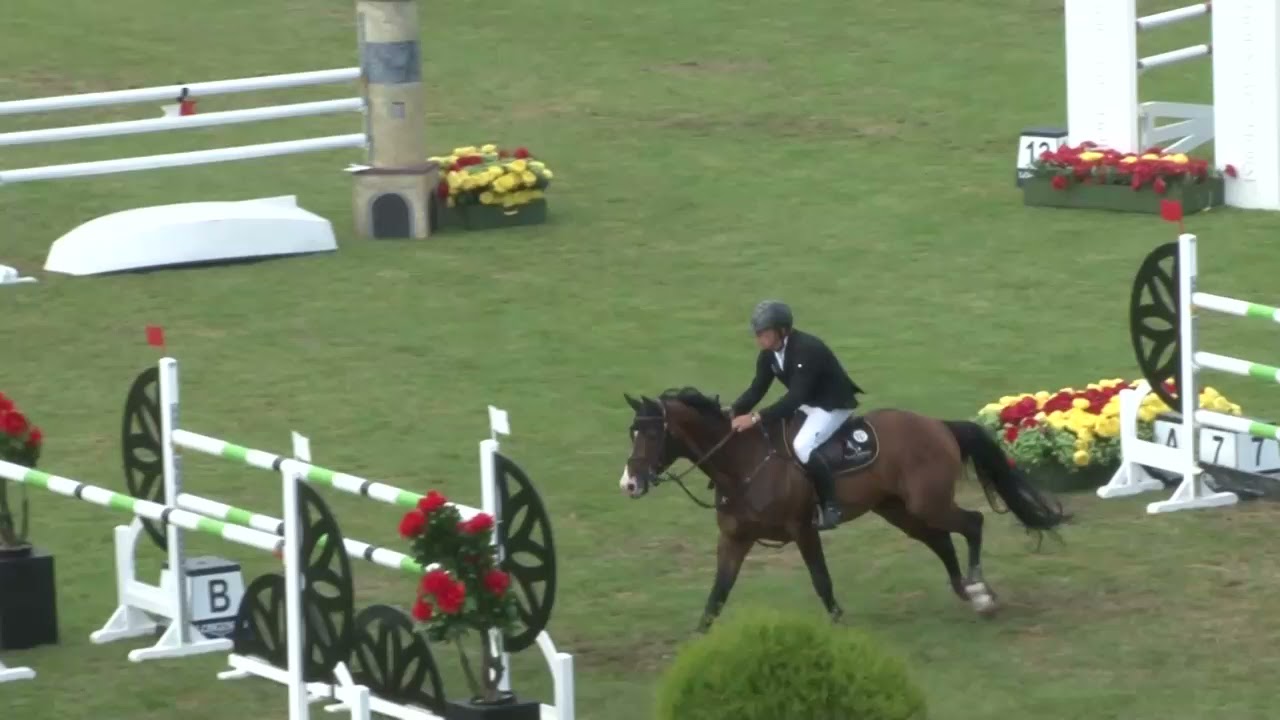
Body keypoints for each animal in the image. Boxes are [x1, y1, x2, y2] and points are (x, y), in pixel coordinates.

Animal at [619, 388, 1069, 632]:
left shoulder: (803, 529)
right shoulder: (734, 539)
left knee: (972, 524)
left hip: (927, 503)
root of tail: (938, 424)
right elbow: (717, 595)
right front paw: (698, 645)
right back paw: (966, 590)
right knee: (942, 541)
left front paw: (838, 623)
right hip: (899, 510)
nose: (629, 484)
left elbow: (821, 580)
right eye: (632, 432)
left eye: (653, 434)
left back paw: (979, 592)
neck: (743, 463)